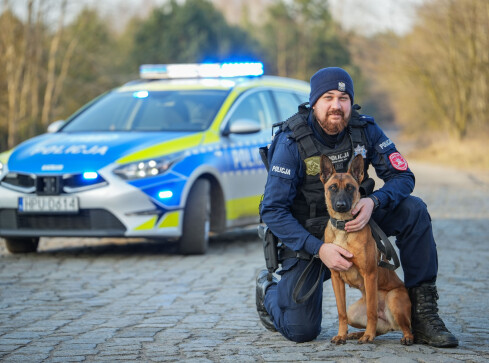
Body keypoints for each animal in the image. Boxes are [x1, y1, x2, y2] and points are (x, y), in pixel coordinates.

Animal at [316, 154, 412, 346]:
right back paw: (356, 334)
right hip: (354, 312)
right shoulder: (336, 278)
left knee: (407, 328)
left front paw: (368, 335)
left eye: (350, 188)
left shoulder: (370, 275)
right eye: (332, 188)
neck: (343, 228)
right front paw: (342, 335)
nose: (341, 205)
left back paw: (401, 337)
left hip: (393, 299)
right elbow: (341, 312)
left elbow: (371, 311)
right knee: (377, 327)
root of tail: (390, 323)